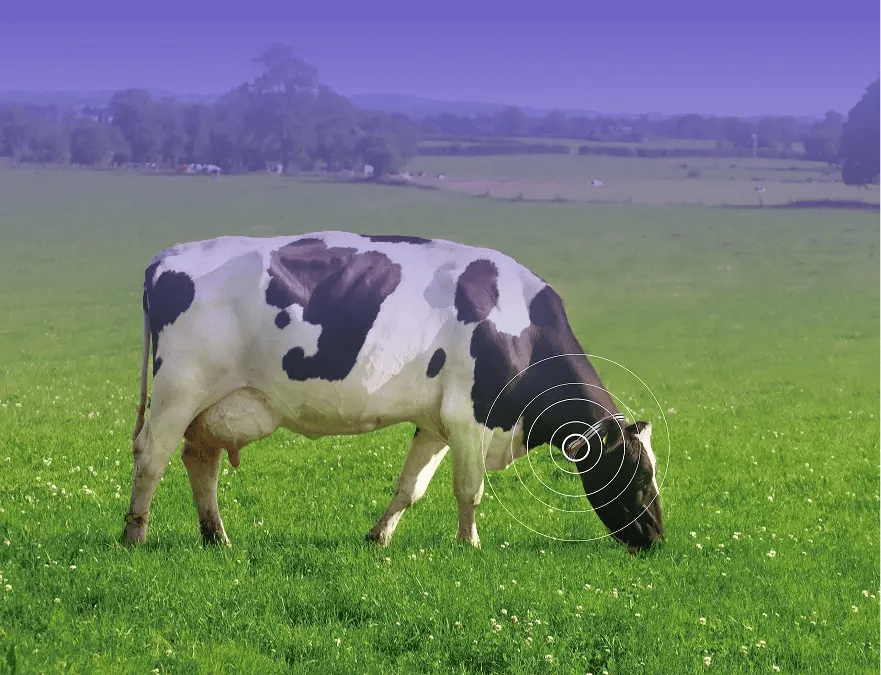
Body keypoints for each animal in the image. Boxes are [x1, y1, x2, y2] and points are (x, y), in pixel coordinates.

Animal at [122, 231, 663, 552]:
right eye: (637, 476)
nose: (657, 538)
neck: (519, 325)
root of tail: (166, 256)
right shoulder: (471, 416)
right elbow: (470, 489)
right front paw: (470, 545)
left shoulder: (437, 423)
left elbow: (411, 487)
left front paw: (378, 537)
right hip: (179, 392)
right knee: (151, 457)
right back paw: (135, 533)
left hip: (213, 406)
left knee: (200, 462)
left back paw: (217, 537)